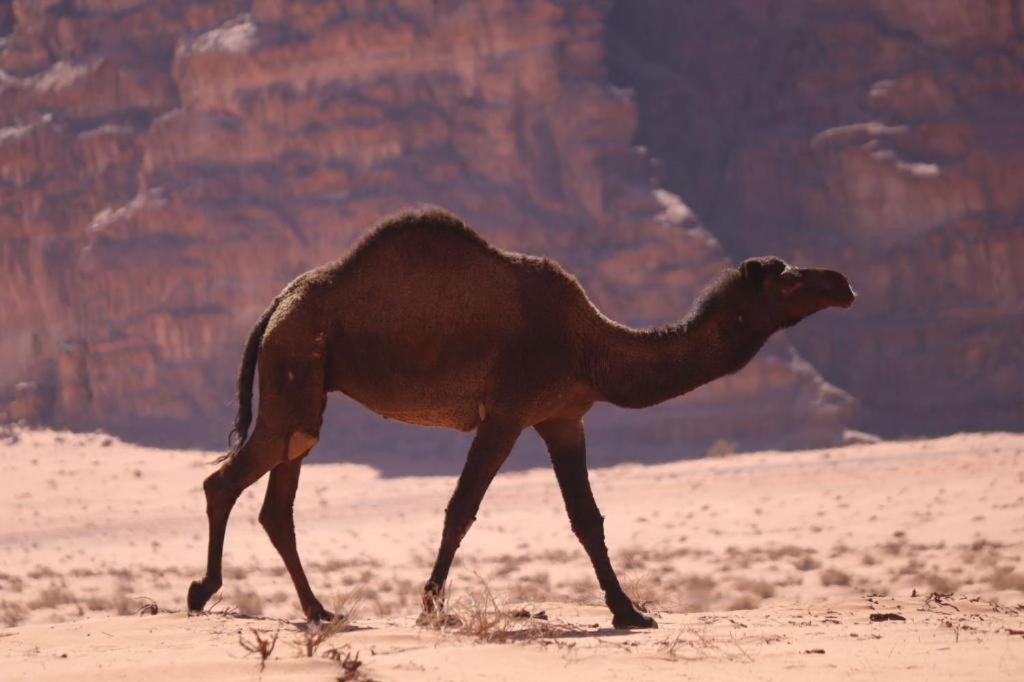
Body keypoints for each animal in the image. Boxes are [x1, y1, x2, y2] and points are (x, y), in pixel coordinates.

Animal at [186, 205, 856, 626]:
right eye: (788, 280)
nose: (842, 283)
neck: (590, 344)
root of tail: (278, 301)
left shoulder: (563, 416)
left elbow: (587, 518)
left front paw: (629, 612)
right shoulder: (507, 412)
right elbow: (461, 509)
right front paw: (431, 607)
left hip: (303, 384)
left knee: (280, 496)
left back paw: (319, 610)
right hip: (294, 366)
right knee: (227, 479)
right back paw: (201, 593)